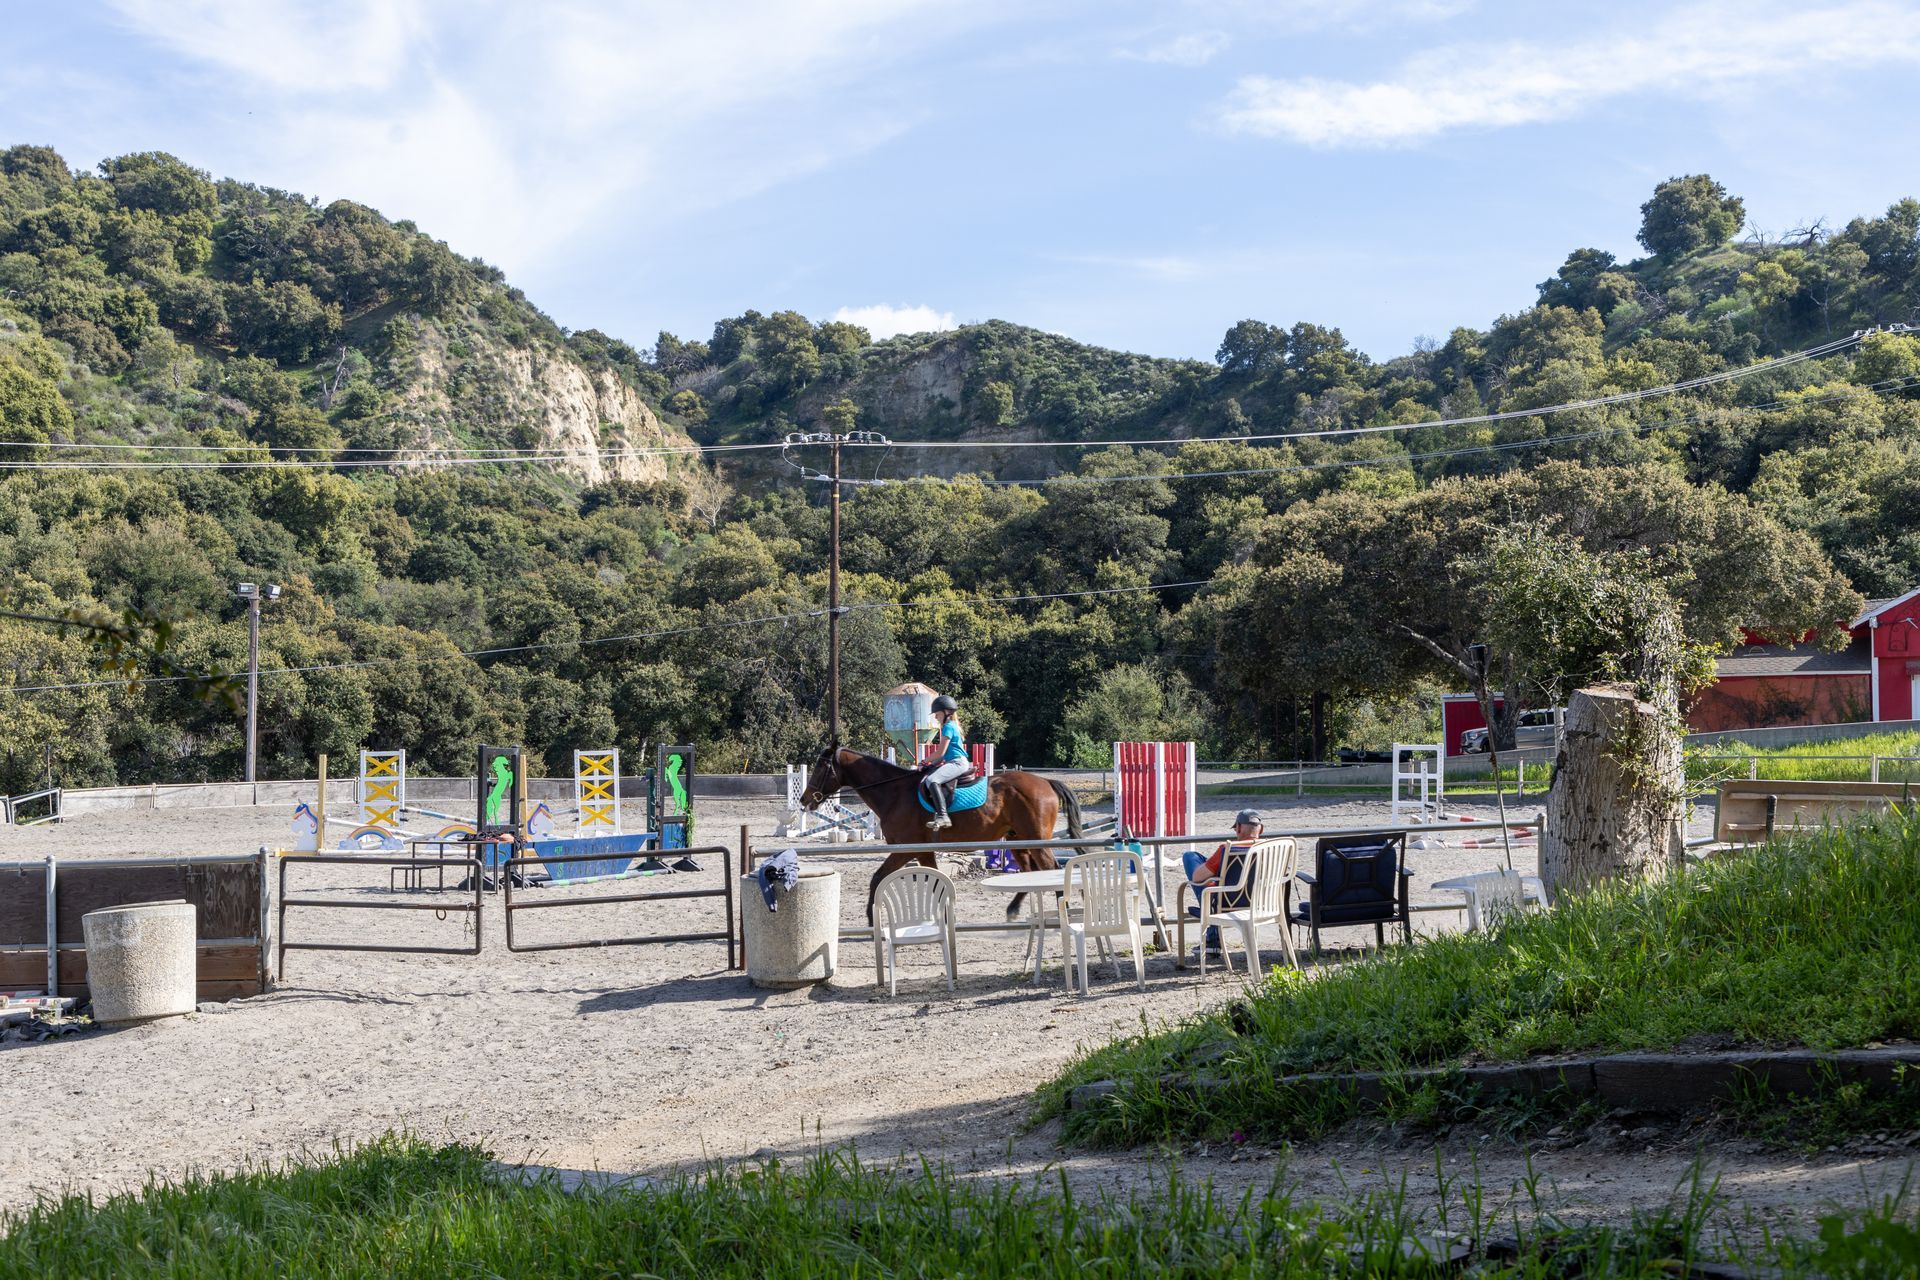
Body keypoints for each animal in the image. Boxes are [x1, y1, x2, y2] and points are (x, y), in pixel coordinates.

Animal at [797, 745, 1084, 923]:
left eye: (821, 767)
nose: (805, 800)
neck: (894, 792)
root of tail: (1046, 782)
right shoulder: (922, 851)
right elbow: (935, 882)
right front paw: (945, 918)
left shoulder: (905, 850)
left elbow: (877, 878)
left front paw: (870, 919)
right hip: (1018, 840)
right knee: (1031, 872)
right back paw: (1013, 909)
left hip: (1035, 840)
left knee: (1051, 867)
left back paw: (1064, 909)